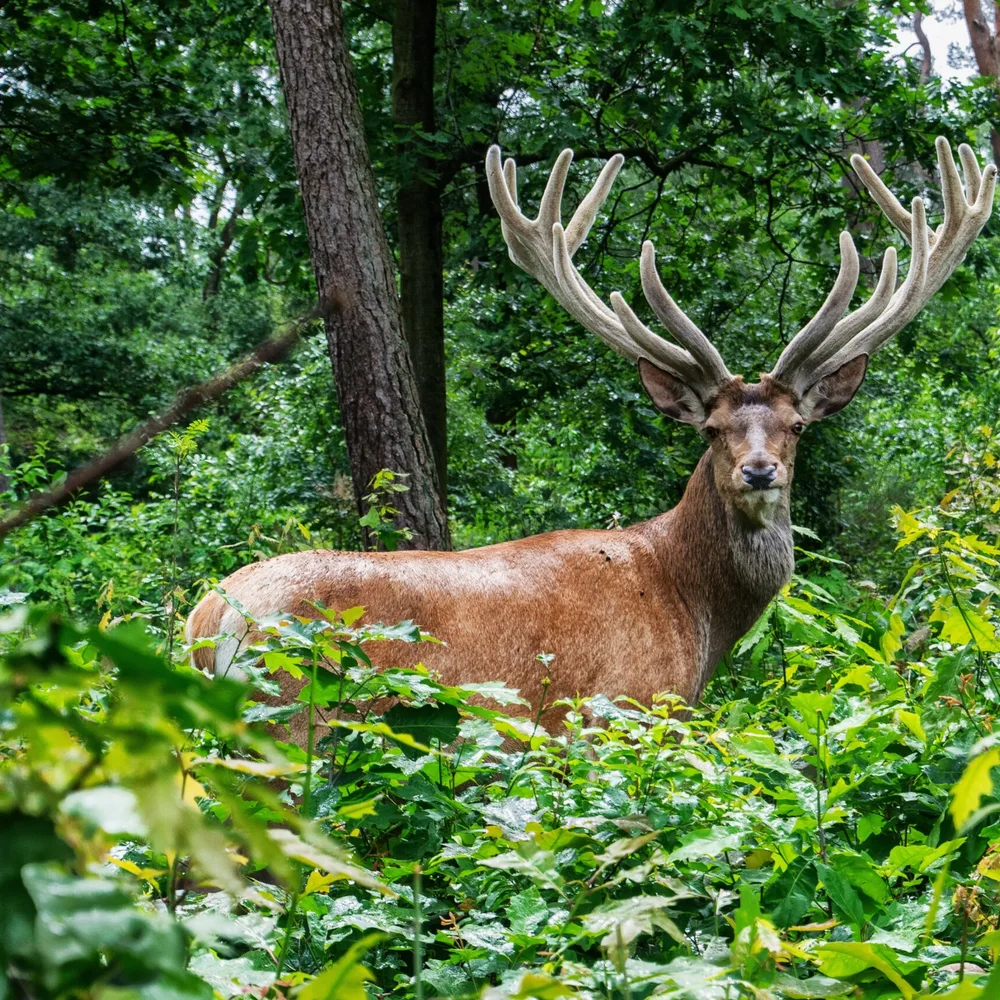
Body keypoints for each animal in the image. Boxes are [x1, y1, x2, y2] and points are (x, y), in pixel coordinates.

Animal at [187, 137, 995, 743]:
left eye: (797, 426)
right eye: (712, 430)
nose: (761, 472)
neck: (692, 607)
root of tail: (209, 622)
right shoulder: (621, 710)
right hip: (291, 725)